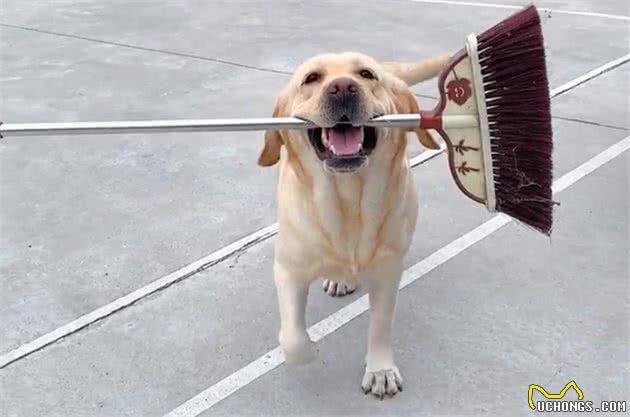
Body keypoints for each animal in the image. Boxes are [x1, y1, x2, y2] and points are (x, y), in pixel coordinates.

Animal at [258, 51, 450, 396]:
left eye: (366, 74)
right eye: (311, 79)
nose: (343, 88)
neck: (347, 199)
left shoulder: (388, 272)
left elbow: (380, 325)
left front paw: (380, 369)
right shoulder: (288, 269)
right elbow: (293, 339)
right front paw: (309, 351)